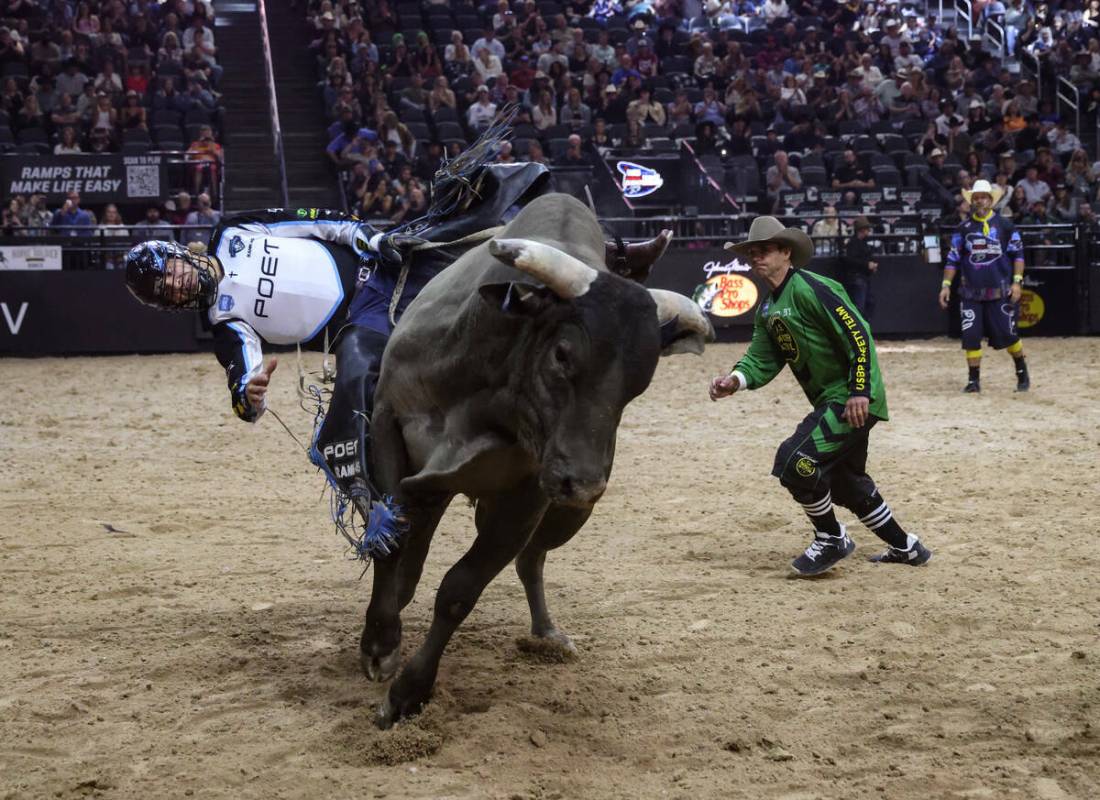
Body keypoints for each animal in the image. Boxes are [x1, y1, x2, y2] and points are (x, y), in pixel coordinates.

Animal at [356, 192, 708, 726]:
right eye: (562, 354)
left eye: (641, 381)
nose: (584, 484)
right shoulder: (386, 426)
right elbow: (390, 543)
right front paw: (380, 644)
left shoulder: (526, 495)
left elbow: (460, 590)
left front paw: (409, 693)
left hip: (561, 515)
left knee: (531, 559)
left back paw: (545, 633)